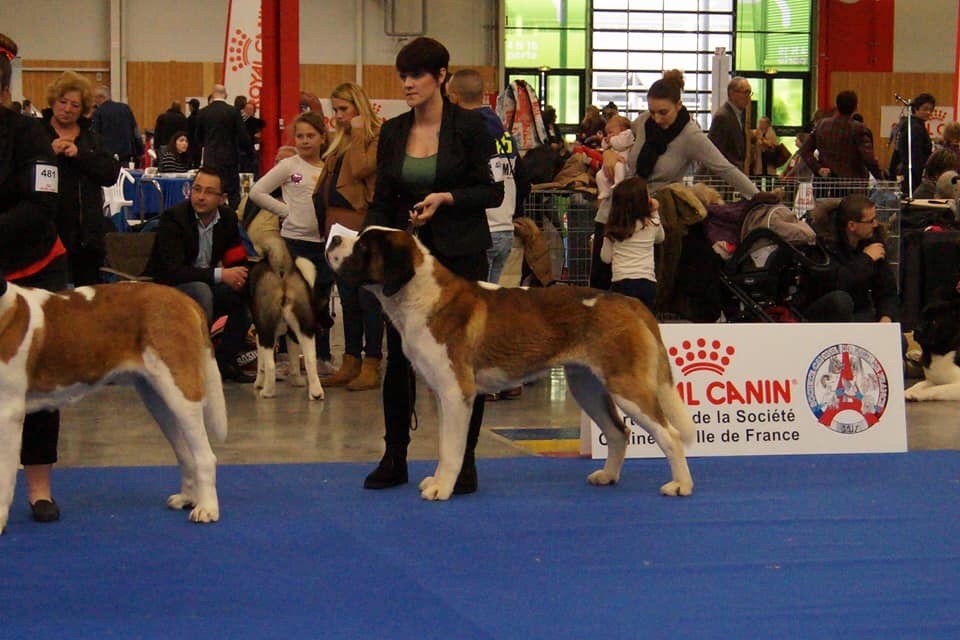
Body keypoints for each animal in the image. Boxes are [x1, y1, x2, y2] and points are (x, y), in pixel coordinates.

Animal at [0, 280, 227, 536]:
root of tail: (184, 298)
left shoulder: (8, 413)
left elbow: (3, 476)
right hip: (156, 399)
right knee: (186, 453)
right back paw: (187, 498)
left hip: (180, 392)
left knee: (205, 457)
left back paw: (207, 509)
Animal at [326, 225, 692, 500]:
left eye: (362, 247)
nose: (334, 239)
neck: (419, 294)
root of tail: (629, 302)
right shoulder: (443, 394)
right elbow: (445, 444)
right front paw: (438, 480)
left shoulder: (457, 393)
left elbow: (453, 448)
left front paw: (442, 488)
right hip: (586, 386)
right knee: (618, 432)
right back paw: (607, 476)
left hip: (625, 385)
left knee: (670, 433)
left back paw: (681, 485)